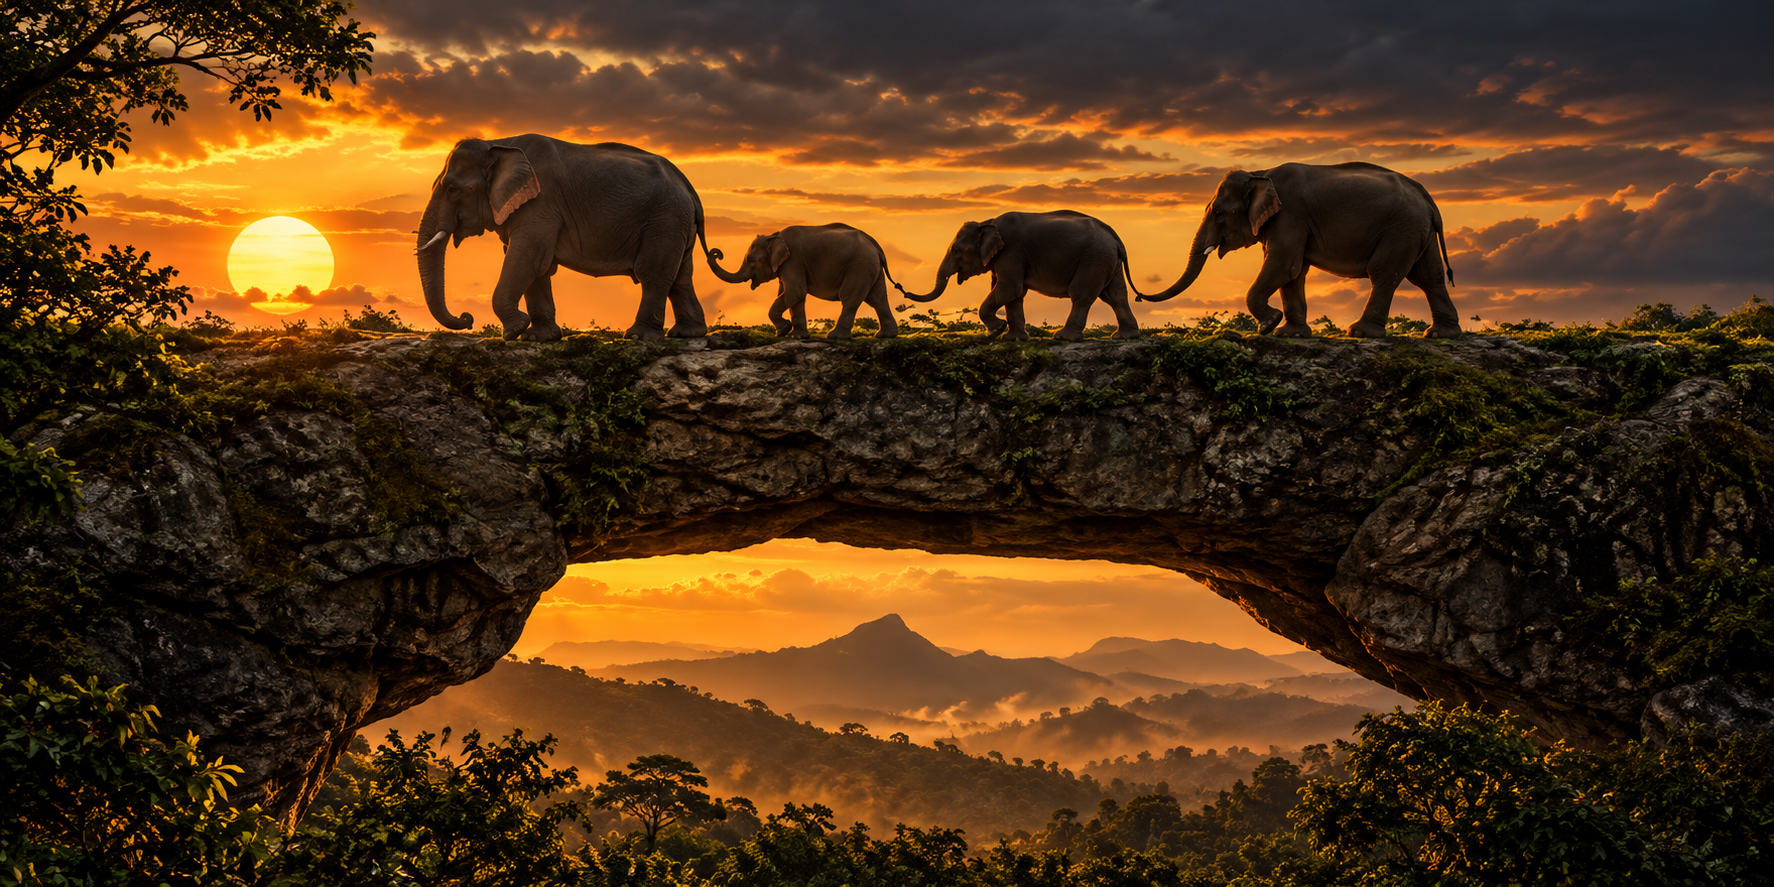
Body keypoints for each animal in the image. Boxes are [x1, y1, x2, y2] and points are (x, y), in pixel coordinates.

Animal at [416, 134, 711, 341]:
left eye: (453, 189)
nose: (467, 319)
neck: (498, 144)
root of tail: (688, 186)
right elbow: (535, 265)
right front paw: (538, 337)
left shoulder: (542, 203)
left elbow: (527, 258)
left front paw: (513, 331)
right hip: (676, 224)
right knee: (680, 277)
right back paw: (688, 334)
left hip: (665, 220)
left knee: (653, 273)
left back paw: (639, 336)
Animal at [706, 224, 911, 338]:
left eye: (750, 259)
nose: (717, 253)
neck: (775, 236)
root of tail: (877, 247)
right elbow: (793, 296)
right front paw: (796, 336)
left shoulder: (793, 260)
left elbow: (795, 292)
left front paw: (783, 331)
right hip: (870, 268)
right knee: (878, 298)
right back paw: (885, 336)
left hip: (859, 266)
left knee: (850, 298)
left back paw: (836, 337)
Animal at [896, 210, 1144, 341]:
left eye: (957, 251)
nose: (901, 290)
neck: (988, 222)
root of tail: (1115, 237)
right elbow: (1014, 293)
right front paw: (1012, 338)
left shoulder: (1012, 250)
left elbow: (1009, 288)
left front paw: (995, 332)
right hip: (1107, 260)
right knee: (1116, 296)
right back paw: (1124, 336)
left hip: (1093, 259)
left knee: (1082, 295)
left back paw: (1062, 337)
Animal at [1137, 162, 1460, 338]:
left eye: (1218, 213)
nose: (1139, 296)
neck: (1261, 173)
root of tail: (1428, 198)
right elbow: (1294, 271)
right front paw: (1288, 333)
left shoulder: (1290, 215)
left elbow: (1283, 265)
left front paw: (1268, 325)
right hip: (1417, 230)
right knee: (1429, 277)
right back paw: (1440, 334)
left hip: (1400, 229)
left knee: (1383, 273)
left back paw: (1360, 332)